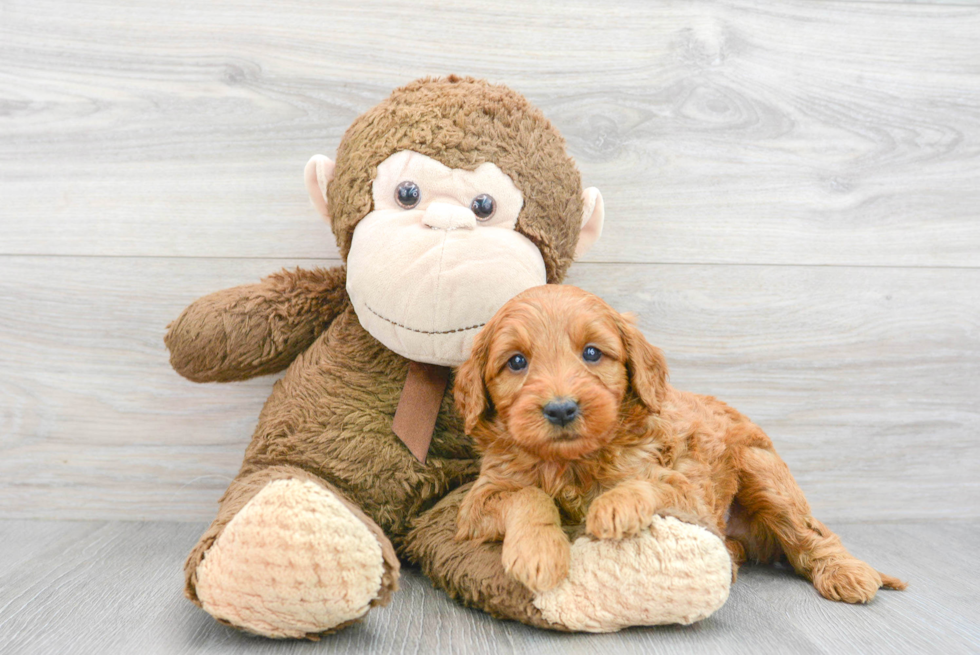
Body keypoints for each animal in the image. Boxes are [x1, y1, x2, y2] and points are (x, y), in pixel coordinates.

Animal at [456, 284, 908, 604]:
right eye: (516, 362)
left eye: (592, 353)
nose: (562, 408)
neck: (571, 463)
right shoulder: (479, 500)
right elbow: (528, 496)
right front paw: (539, 552)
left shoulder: (690, 494)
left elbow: (645, 483)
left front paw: (614, 505)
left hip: (761, 469)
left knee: (810, 534)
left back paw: (846, 572)